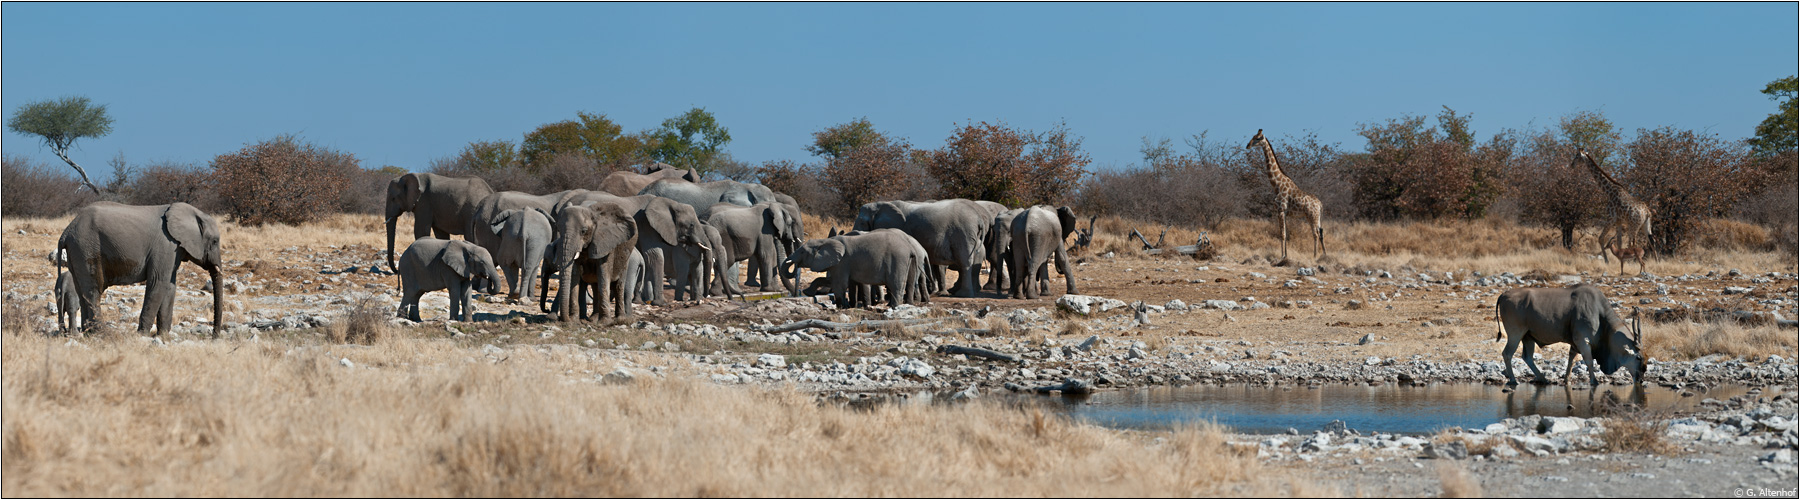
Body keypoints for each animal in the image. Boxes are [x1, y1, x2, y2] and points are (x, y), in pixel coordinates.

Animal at [57, 202, 224, 336]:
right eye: (215, 241)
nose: (214, 337)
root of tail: (66, 231)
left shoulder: (173, 249)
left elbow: (170, 287)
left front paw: (163, 336)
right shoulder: (166, 245)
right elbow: (158, 282)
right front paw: (142, 335)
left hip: (77, 252)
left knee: (81, 291)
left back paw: (89, 334)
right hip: (86, 248)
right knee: (93, 290)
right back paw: (102, 334)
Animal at [554, 188, 709, 302]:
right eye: (691, 225)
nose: (705, 297)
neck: (670, 203)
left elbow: (647, 259)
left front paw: (645, 300)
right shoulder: (646, 225)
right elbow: (655, 255)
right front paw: (660, 302)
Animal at [853, 197, 993, 296]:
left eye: (862, 222)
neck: (882, 204)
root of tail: (979, 219)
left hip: (963, 233)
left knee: (964, 262)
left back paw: (962, 295)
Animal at [1245, 128, 1332, 264]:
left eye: (1258, 138)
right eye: (1253, 136)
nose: (1247, 146)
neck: (1277, 185)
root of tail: (1320, 204)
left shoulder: (1280, 210)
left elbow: (1282, 234)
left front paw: (1282, 256)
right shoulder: (1284, 212)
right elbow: (1285, 233)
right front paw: (1285, 255)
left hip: (1311, 215)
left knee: (1316, 233)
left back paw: (1315, 256)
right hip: (1316, 216)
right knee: (1320, 231)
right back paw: (1324, 254)